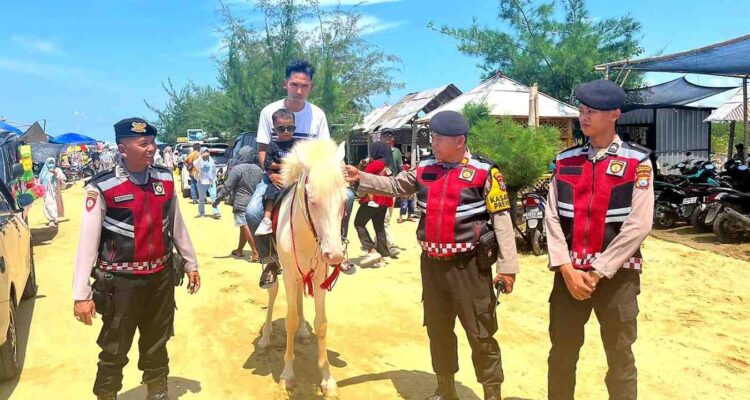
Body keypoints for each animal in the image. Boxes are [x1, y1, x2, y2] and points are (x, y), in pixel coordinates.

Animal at [257, 139, 349, 397]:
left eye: (344, 202)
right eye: (313, 200)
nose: (335, 255)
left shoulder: (319, 277)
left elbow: (322, 323)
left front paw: (327, 379)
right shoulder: (289, 275)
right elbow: (289, 319)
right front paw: (287, 374)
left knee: (298, 299)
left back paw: (303, 332)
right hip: (278, 271)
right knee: (273, 294)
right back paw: (266, 337)